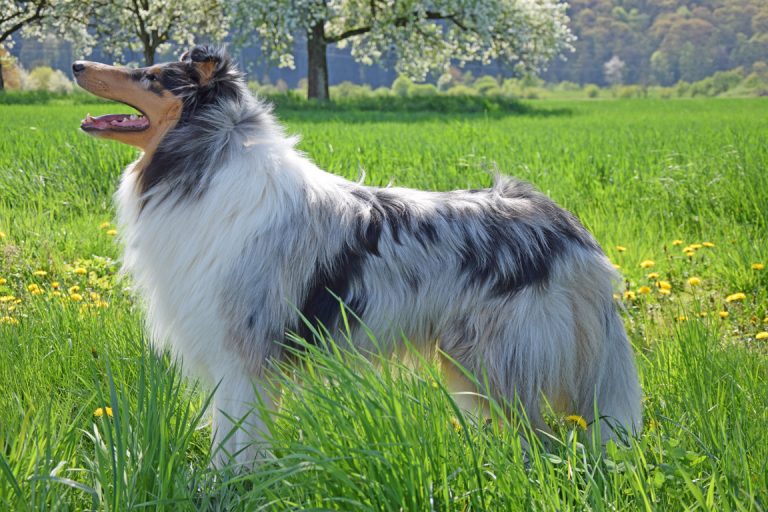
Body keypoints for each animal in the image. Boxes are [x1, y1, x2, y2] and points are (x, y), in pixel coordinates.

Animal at [75, 46, 640, 466]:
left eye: (150, 77)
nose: (78, 65)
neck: (204, 162)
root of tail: (569, 229)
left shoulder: (242, 354)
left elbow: (235, 445)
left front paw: (228, 487)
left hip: (499, 360)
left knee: (545, 440)